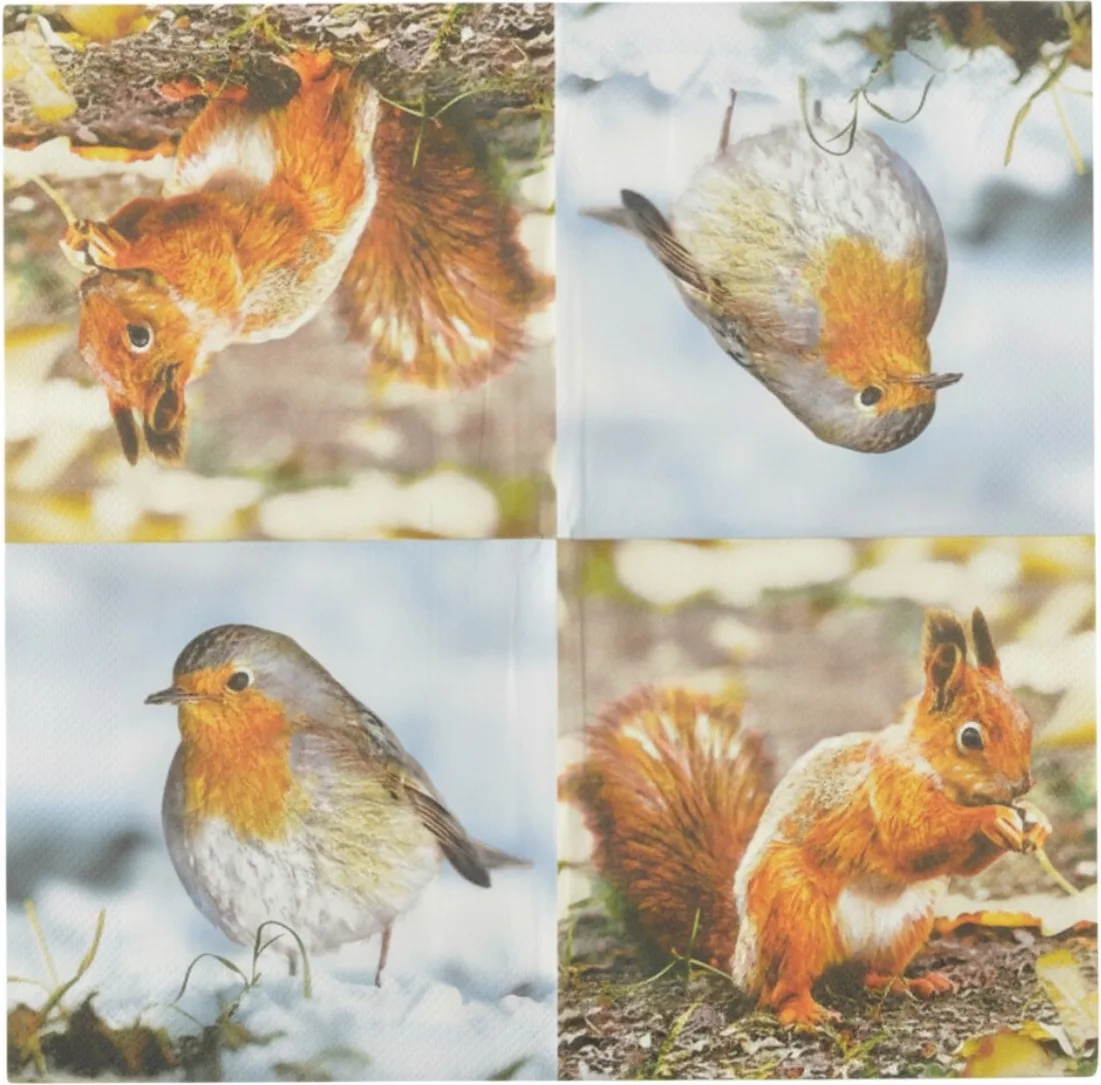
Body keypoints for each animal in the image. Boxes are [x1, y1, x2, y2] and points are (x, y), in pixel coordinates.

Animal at [58, 49, 551, 465]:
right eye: (84, 352)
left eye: (139, 337)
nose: (88, 289)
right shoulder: (165, 215)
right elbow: (137, 210)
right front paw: (79, 243)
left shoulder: (208, 257)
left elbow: (167, 235)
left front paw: (107, 247)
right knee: (261, 101)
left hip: (311, 152)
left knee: (310, 103)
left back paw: (298, 69)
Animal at [560, 608, 1052, 1028]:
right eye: (970, 737)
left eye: (1025, 721)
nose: (1021, 785)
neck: (937, 775)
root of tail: (739, 954)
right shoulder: (887, 789)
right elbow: (914, 839)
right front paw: (993, 817)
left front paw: (1037, 821)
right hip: (792, 913)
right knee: (780, 989)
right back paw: (804, 1012)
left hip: (909, 921)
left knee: (870, 975)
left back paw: (910, 982)